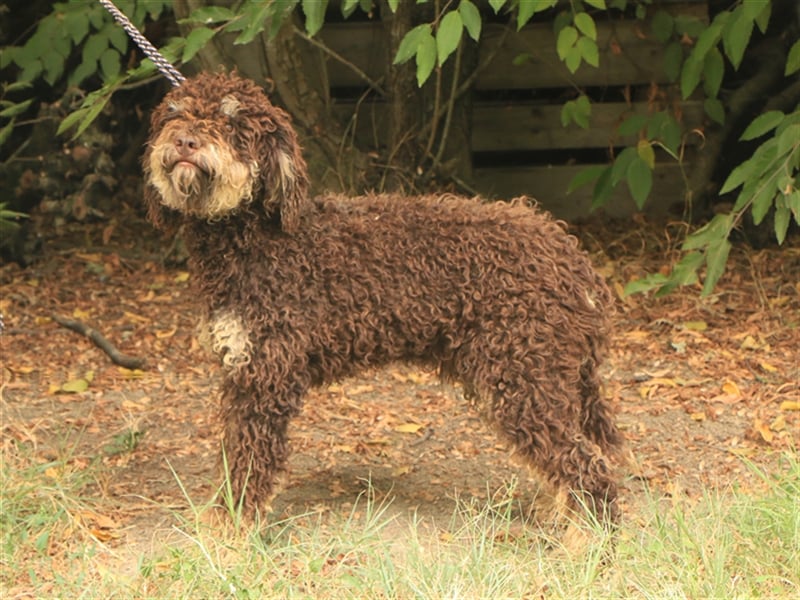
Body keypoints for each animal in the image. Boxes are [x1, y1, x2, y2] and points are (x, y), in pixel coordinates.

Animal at [144, 70, 620, 524]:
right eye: (173, 115)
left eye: (232, 121)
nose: (185, 141)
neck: (256, 237)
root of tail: (572, 259)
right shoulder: (245, 371)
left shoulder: (264, 377)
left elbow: (247, 465)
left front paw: (230, 531)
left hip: (524, 378)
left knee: (587, 468)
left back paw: (586, 541)